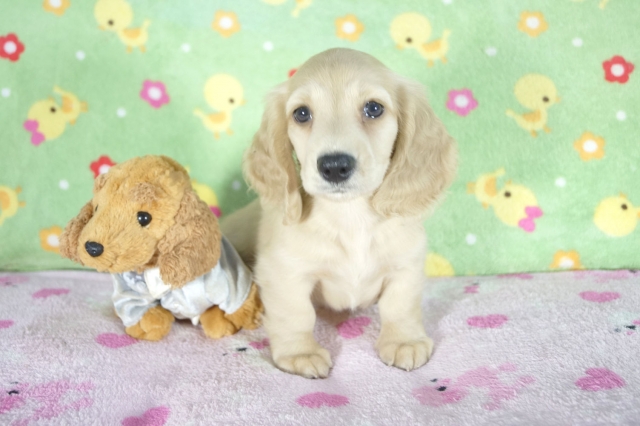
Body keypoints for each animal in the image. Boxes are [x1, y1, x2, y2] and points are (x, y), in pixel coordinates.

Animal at [222, 48, 457, 378]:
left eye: (374, 108)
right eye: (302, 114)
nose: (334, 166)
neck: (350, 217)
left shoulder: (406, 265)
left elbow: (400, 305)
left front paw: (404, 341)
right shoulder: (283, 272)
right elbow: (295, 314)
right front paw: (300, 352)